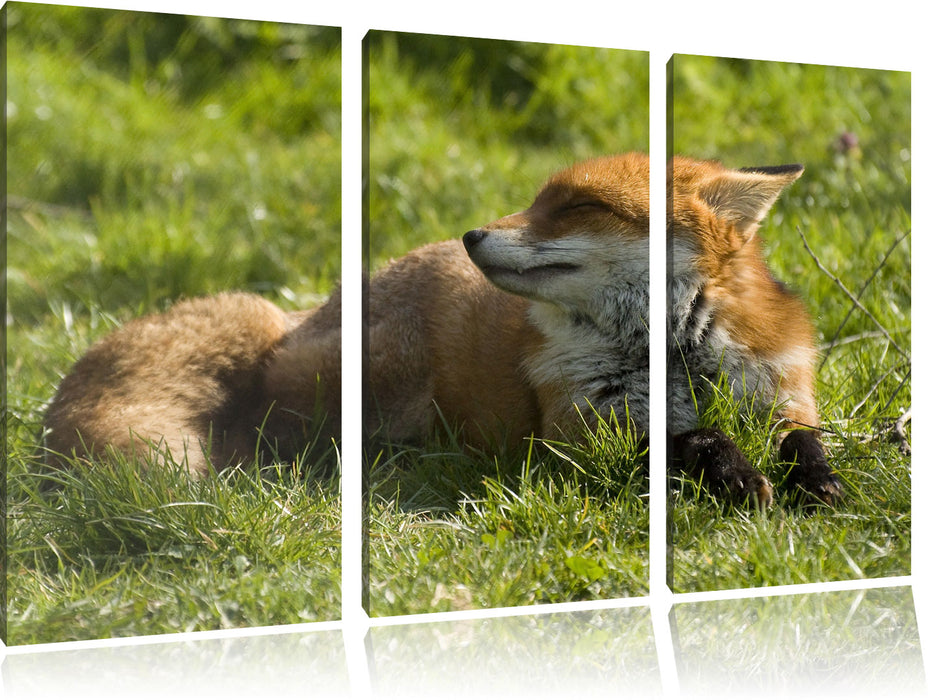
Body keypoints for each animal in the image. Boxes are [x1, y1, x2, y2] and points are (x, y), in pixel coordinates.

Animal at [44, 152, 844, 504]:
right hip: (380, 375)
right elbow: (691, 439)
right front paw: (736, 475)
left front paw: (819, 481)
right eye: (536, 200)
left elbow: (802, 441)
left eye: (576, 206)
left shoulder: (781, 391)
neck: (675, 355)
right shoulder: (581, 434)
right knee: (277, 437)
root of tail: (304, 313)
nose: (471, 235)